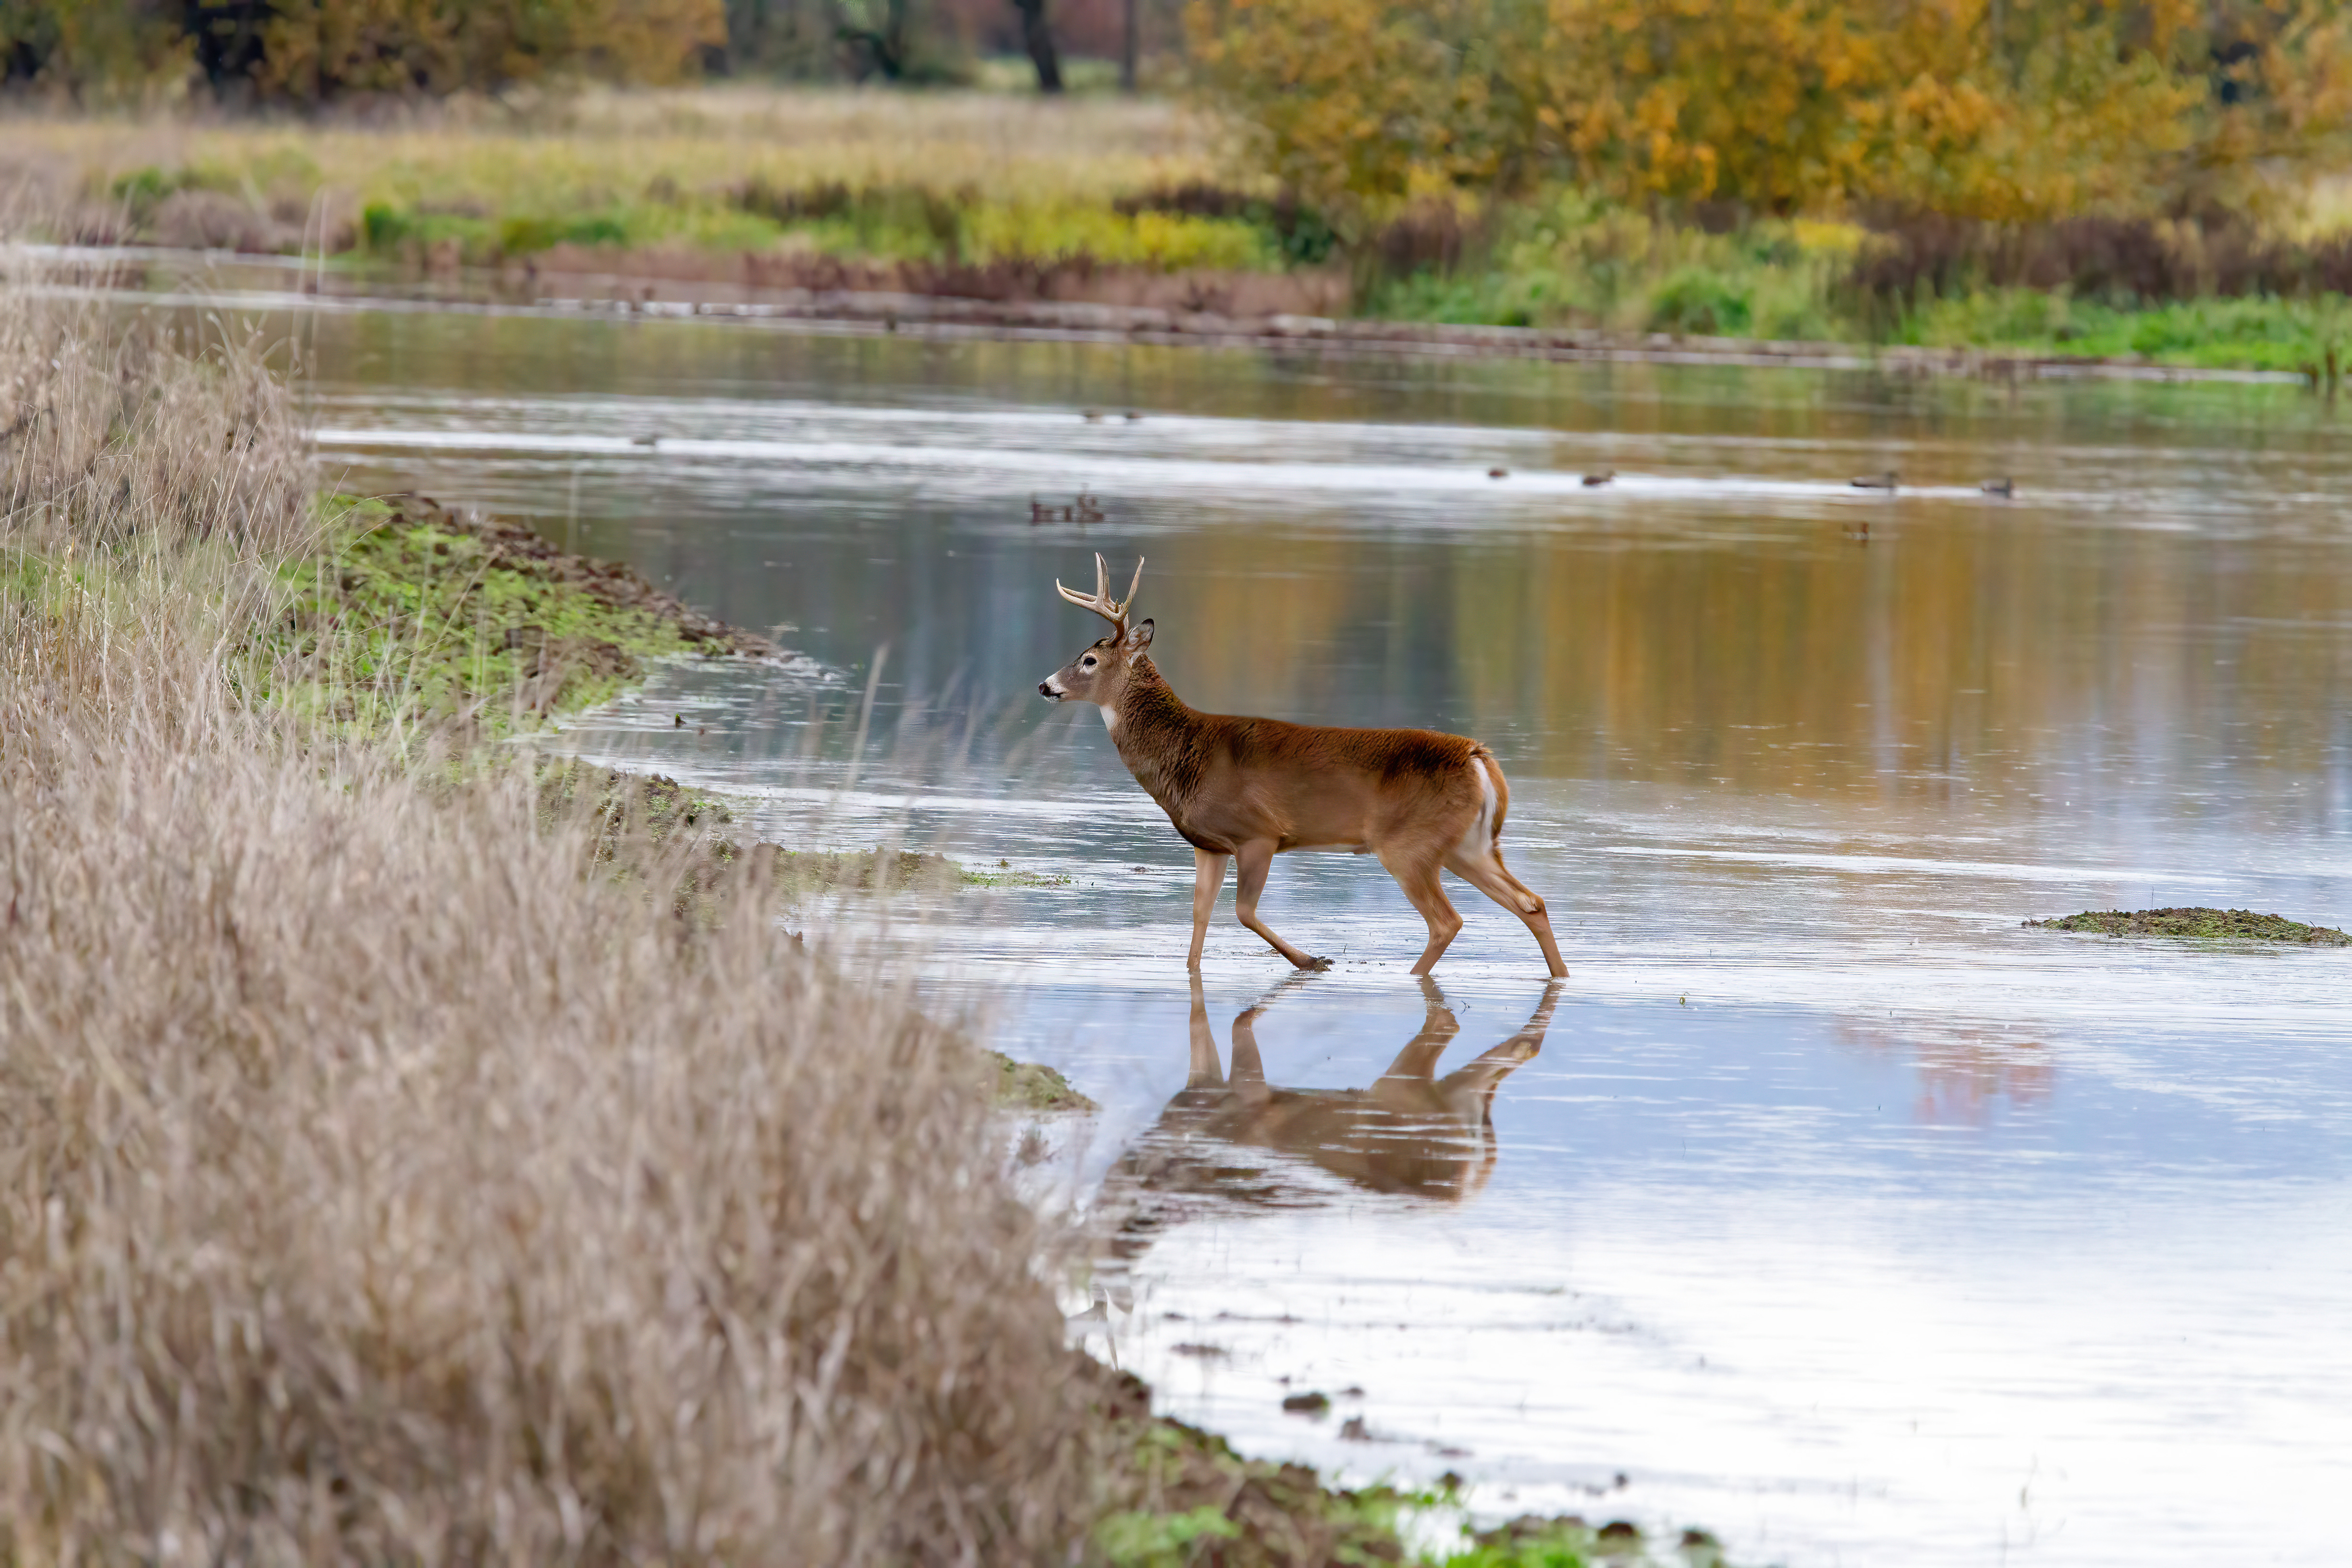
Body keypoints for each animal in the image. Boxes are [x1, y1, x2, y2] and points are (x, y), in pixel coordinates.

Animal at [1036, 554, 1568, 977]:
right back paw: (1560, 977)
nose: (1045, 685)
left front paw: (1315, 960)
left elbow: (1243, 912)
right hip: (1468, 845)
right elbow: (1200, 916)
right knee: (1531, 902)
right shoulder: (1209, 844)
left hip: (1408, 845)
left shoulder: (1259, 832)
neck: (1187, 754)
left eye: (1088, 660)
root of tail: (1479, 759)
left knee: (1448, 920)